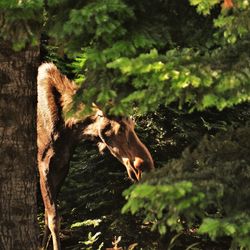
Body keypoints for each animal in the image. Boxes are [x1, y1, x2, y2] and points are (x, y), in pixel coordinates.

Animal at [37, 63, 154, 250]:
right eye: (120, 128)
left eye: (133, 124)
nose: (146, 166)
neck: (68, 128)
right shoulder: (43, 165)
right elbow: (53, 218)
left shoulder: (62, 165)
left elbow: (48, 217)